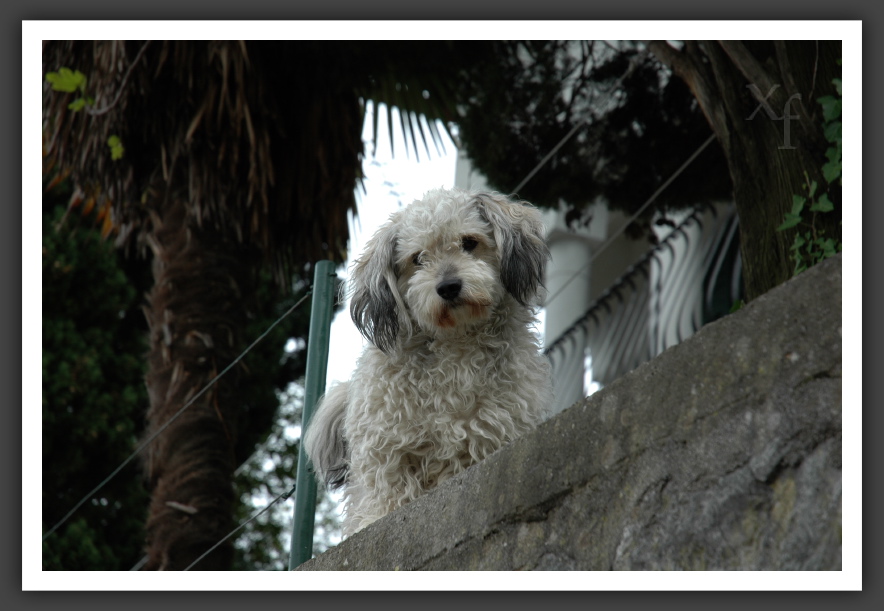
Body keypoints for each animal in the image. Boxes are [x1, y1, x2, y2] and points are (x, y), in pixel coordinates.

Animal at [304, 189, 552, 536]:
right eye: (417, 258)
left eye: (469, 242)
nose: (448, 287)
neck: (455, 340)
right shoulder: (385, 443)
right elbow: (388, 487)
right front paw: (379, 518)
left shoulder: (494, 430)